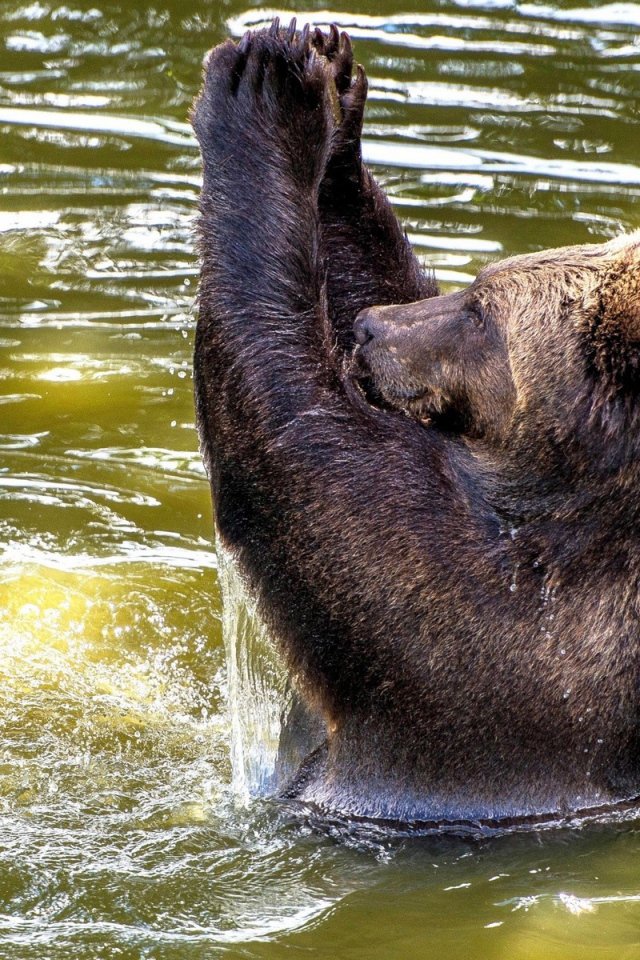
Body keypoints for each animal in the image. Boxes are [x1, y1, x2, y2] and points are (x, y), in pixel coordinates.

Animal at [191, 22, 640, 826]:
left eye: (481, 311)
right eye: (475, 287)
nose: (371, 328)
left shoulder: (533, 646)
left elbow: (317, 476)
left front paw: (266, 90)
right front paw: (332, 89)